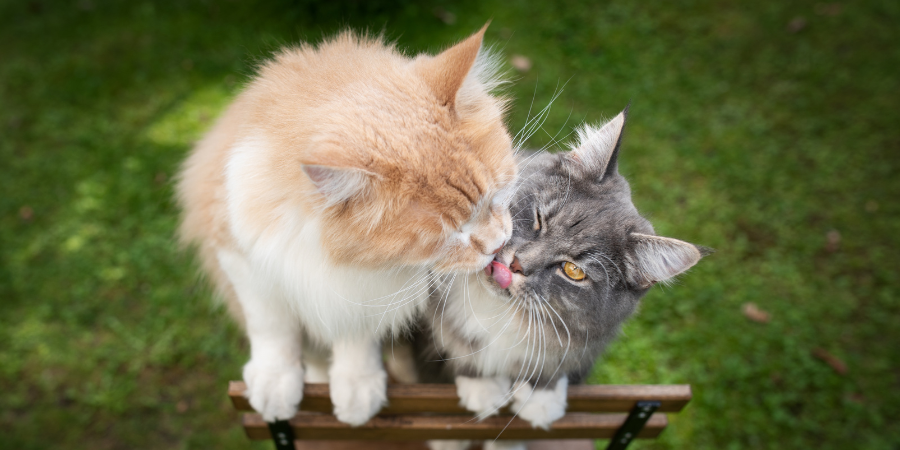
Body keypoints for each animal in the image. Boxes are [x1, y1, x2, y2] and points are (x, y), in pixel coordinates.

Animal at [175, 26, 516, 428]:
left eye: (496, 197)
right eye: (448, 236)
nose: (497, 244)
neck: (319, 245)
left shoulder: (362, 289)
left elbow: (356, 334)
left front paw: (357, 385)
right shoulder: (242, 256)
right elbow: (272, 327)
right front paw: (276, 381)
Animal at [402, 110, 712, 450]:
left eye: (573, 271)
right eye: (539, 219)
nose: (517, 264)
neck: (504, 312)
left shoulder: (585, 341)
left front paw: (541, 400)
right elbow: (442, 362)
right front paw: (478, 393)